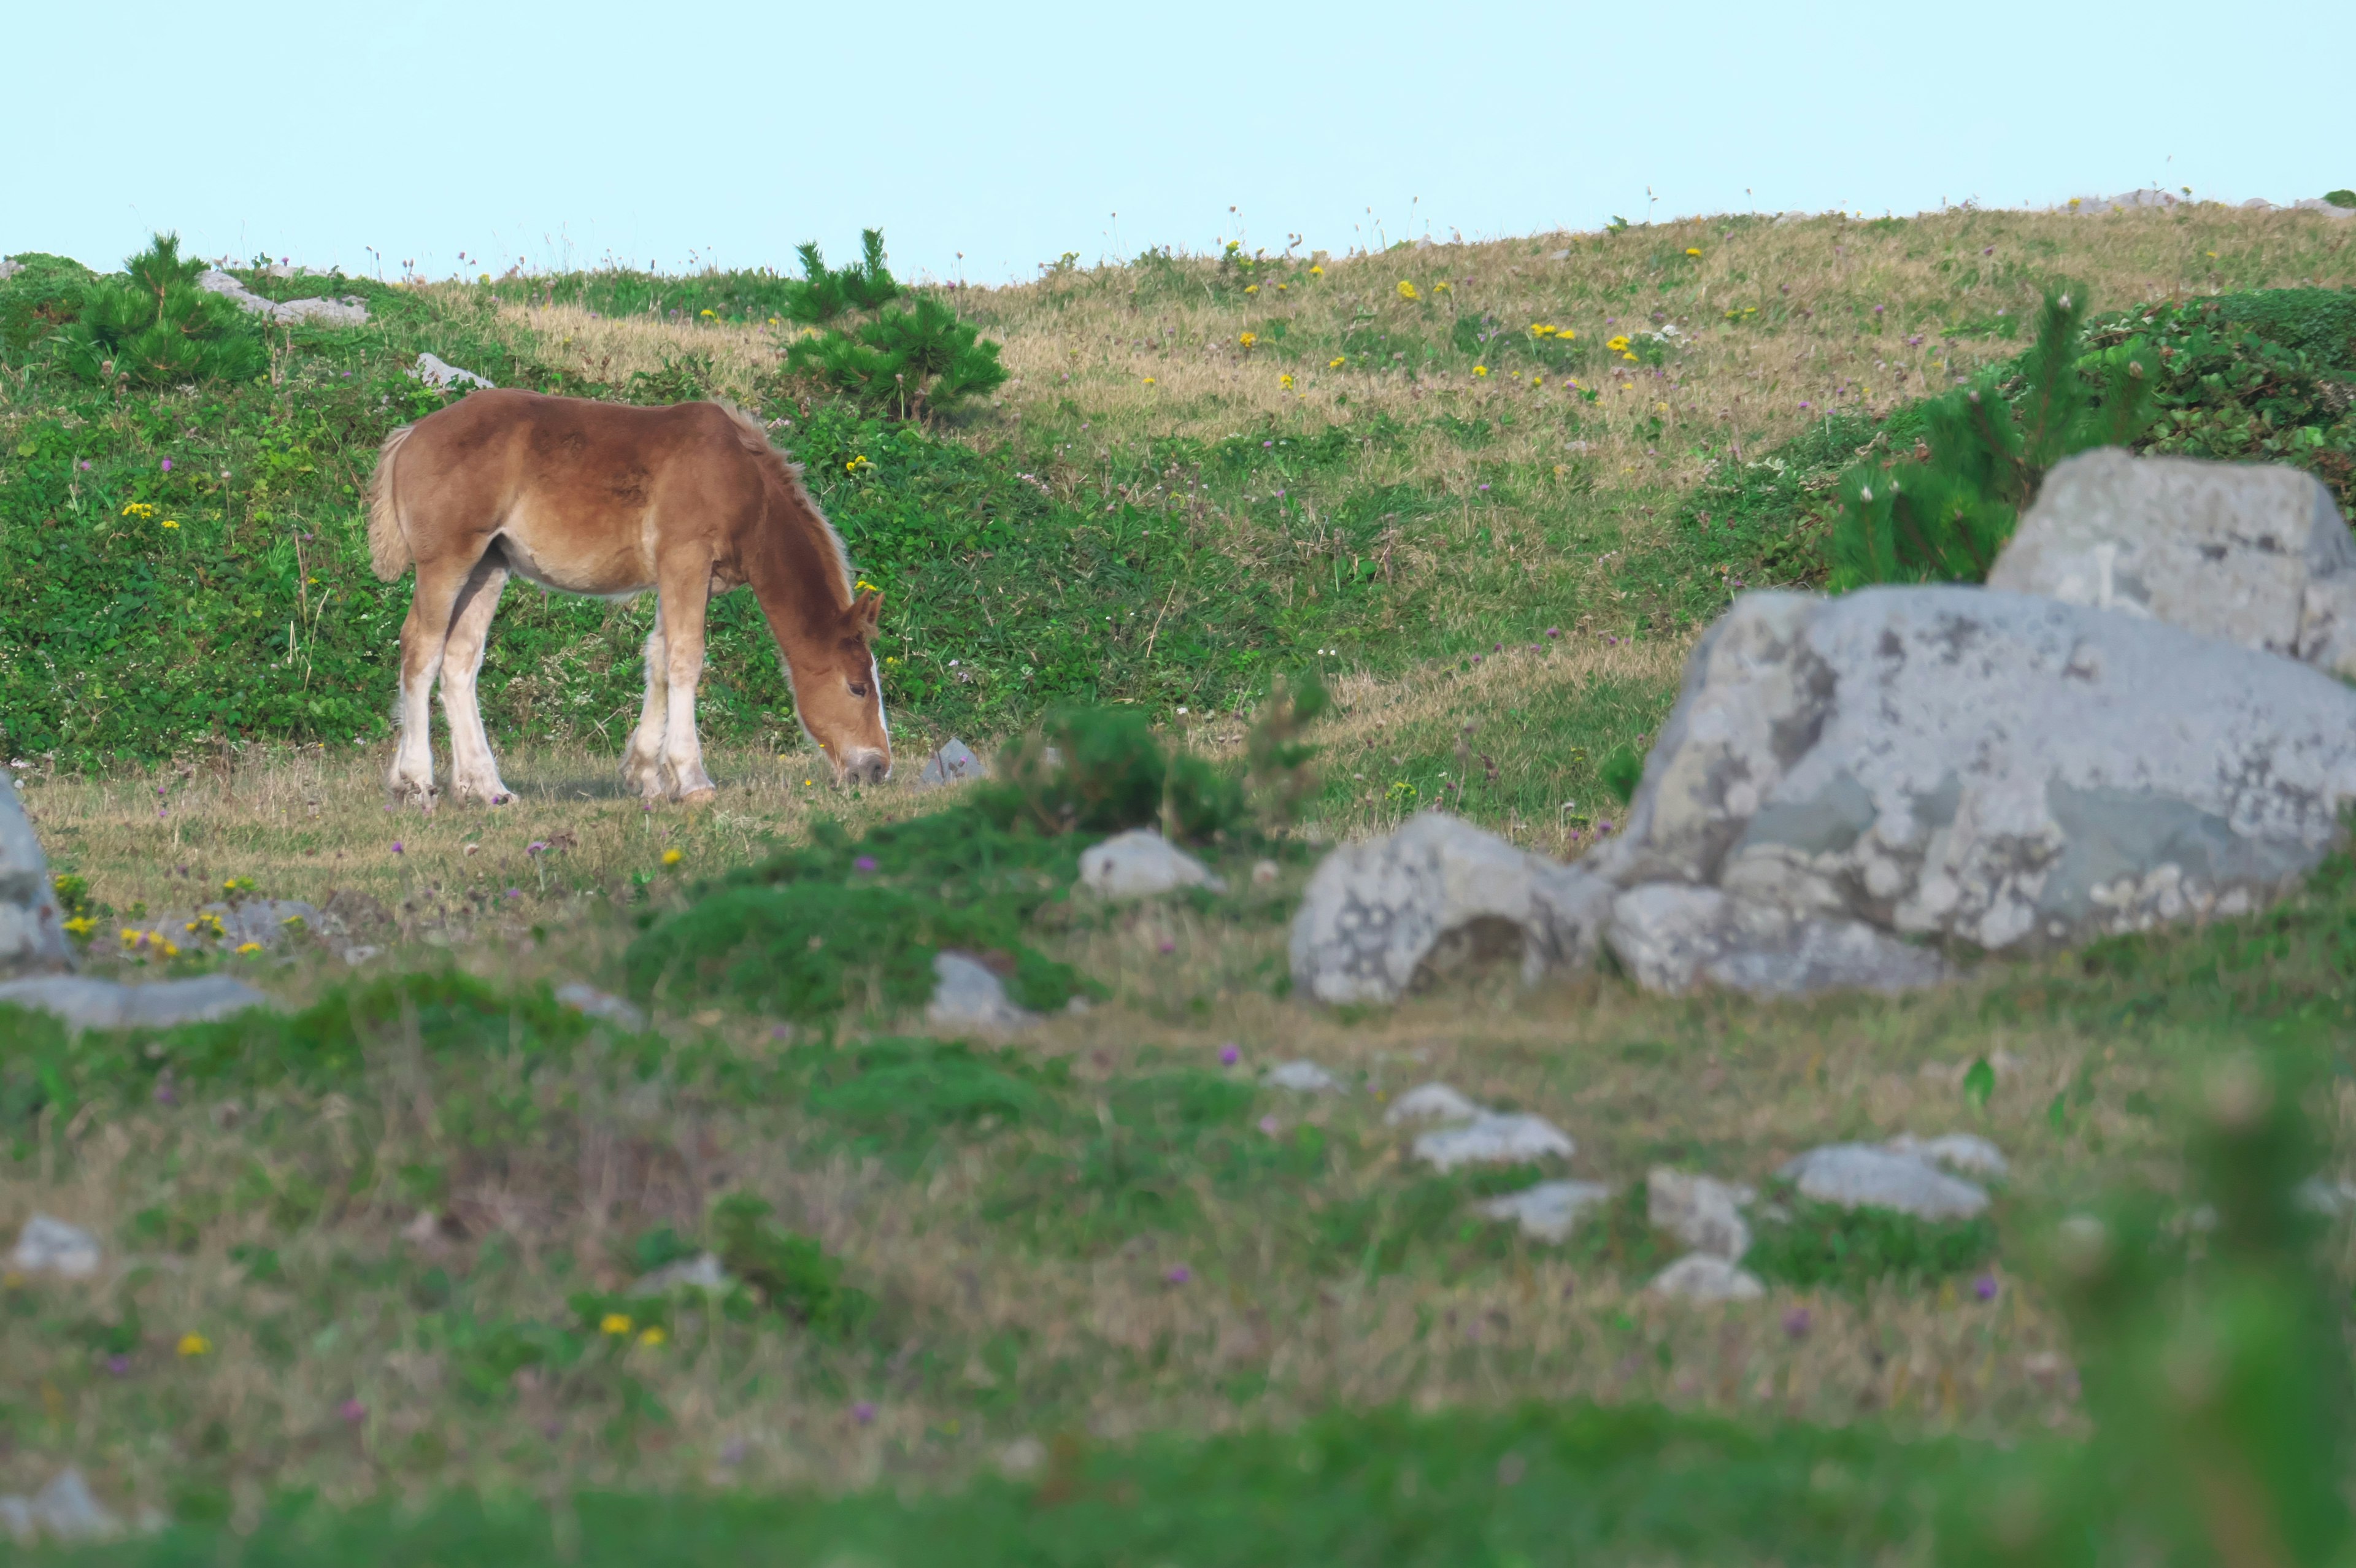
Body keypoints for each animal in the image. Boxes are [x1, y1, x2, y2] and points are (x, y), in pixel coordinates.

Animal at [368, 388, 890, 805]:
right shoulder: (686, 558)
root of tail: (412, 433)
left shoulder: (681, 575)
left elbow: (659, 658)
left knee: (459, 661)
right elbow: (686, 658)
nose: (879, 768)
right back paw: (416, 781)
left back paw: (487, 787)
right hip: (448, 560)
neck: (743, 482)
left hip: (488, 566)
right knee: (421, 649)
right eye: (858, 687)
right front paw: (692, 779)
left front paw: (647, 776)